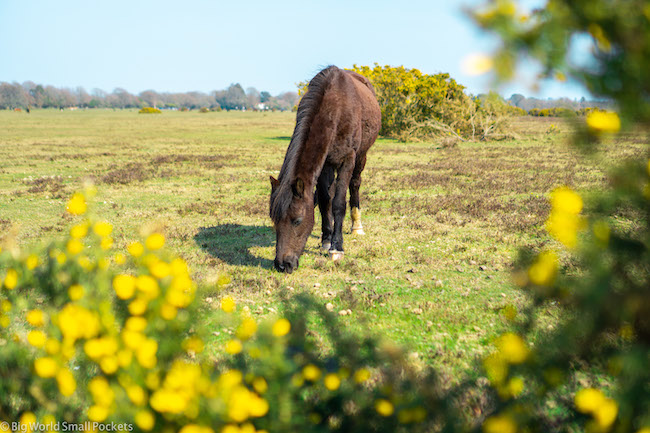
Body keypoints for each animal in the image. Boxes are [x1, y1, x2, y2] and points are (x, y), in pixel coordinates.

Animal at [268, 65, 380, 272]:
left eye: (297, 220)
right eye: (274, 220)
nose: (282, 265)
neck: (335, 108)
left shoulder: (347, 159)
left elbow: (338, 203)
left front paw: (337, 248)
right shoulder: (324, 163)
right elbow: (325, 201)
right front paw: (327, 240)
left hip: (361, 156)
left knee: (354, 185)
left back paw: (356, 226)